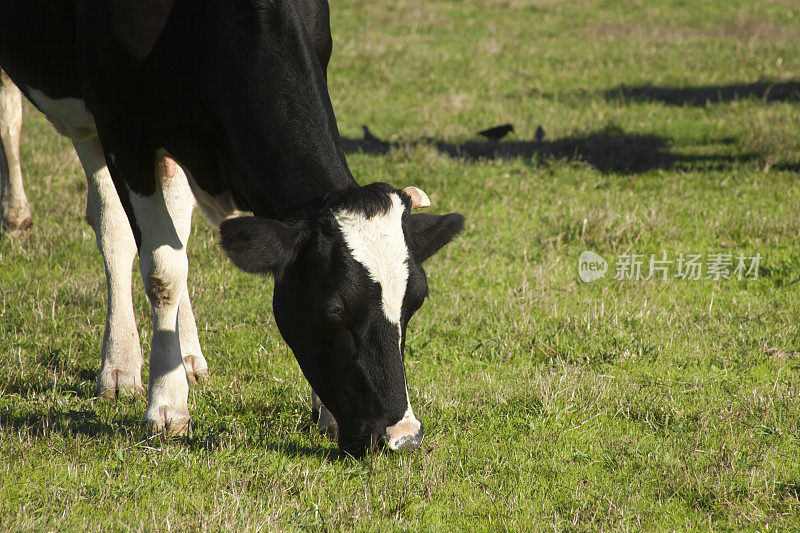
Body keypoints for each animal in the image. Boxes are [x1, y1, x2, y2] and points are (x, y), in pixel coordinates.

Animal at [0, 1, 466, 458]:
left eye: (416, 302)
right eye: (334, 309)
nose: (403, 437)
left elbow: (174, 250)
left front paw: (325, 414)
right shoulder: (121, 127)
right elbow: (161, 270)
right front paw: (167, 406)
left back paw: (186, 355)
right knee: (106, 218)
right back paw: (115, 359)